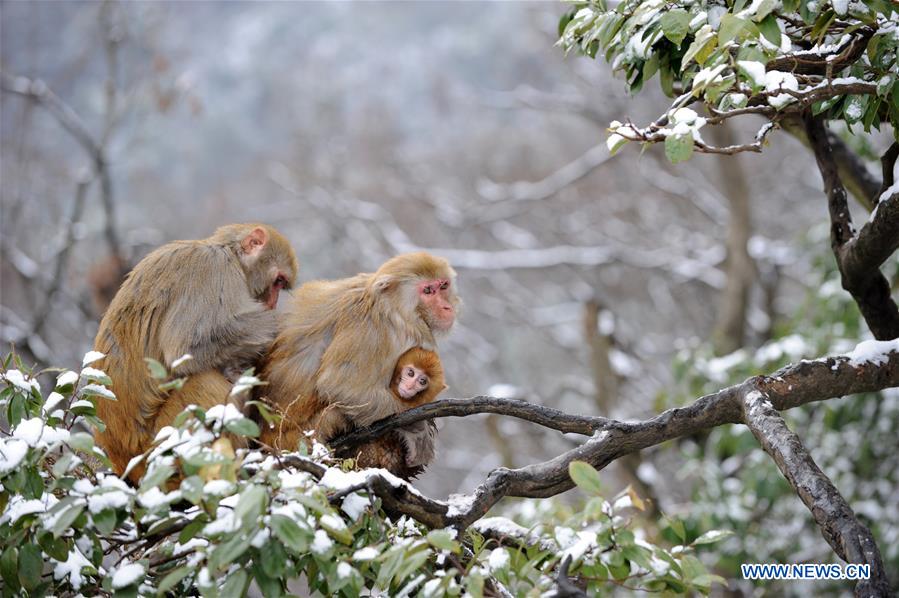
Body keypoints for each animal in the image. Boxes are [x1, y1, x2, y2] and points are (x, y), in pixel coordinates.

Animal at [94, 225, 298, 482]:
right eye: (278, 281)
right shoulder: (214, 269)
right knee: (206, 382)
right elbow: (186, 346)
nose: (273, 302)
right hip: (160, 444)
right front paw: (277, 323)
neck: (229, 253)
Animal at [258, 253, 458, 474]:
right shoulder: (374, 330)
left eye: (443, 286)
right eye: (428, 290)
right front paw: (415, 428)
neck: (389, 305)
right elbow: (339, 386)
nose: (447, 307)